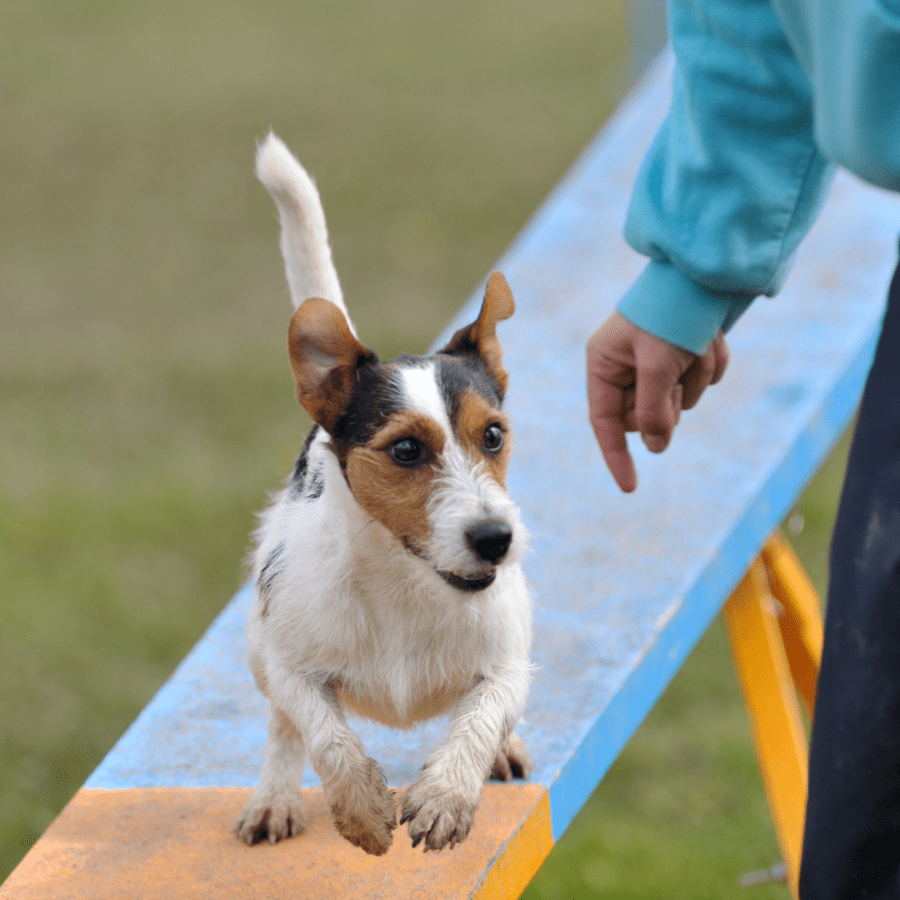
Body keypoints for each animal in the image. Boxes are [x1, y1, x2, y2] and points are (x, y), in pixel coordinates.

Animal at [237, 135, 536, 856]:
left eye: (493, 435)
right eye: (405, 451)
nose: (496, 539)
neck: (406, 585)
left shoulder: (508, 663)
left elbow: (482, 713)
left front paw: (446, 795)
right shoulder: (290, 663)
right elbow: (322, 730)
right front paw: (362, 808)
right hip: (260, 649)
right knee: (283, 726)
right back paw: (274, 796)